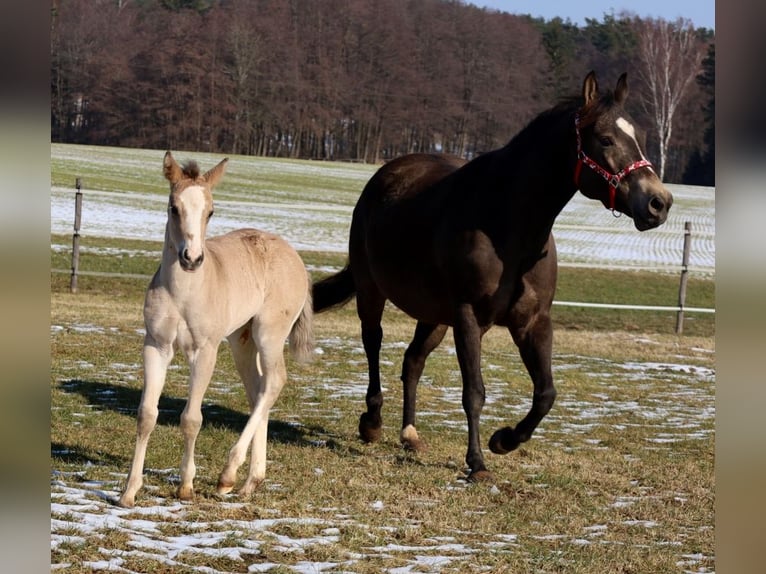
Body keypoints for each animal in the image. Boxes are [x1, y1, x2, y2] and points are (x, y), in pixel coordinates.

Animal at [117, 152, 314, 507]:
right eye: (173, 207)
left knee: (274, 382)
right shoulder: (156, 346)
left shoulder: (205, 350)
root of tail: (294, 256)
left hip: (269, 333)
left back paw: (228, 476)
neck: (183, 292)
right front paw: (129, 491)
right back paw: (251, 481)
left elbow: (191, 419)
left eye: (211, 211)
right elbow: (146, 415)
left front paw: (185, 486)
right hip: (242, 340)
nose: (192, 258)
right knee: (258, 390)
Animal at [312, 71, 673, 482]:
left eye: (640, 136)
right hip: (372, 291)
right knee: (373, 343)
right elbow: (474, 392)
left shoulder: (533, 322)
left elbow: (546, 394)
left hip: (435, 316)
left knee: (412, 361)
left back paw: (410, 434)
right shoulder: (469, 317)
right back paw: (372, 422)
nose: (659, 203)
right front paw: (478, 463)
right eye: (607, 139)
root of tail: (382, 178)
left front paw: (503, 440)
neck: (507, 224)